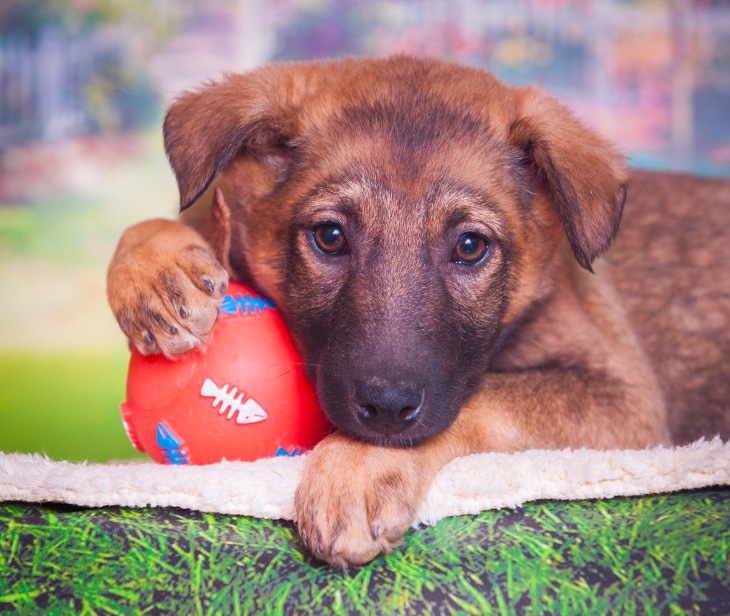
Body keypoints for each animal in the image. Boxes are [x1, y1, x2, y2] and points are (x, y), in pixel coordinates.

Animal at [107, 56, 730, 568]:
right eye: (330, 237)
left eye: (471, 246)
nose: (385, 408)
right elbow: (156, 224)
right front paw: (155, 274)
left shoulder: (625, 400)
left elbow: (487, 396)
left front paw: (357, 466)